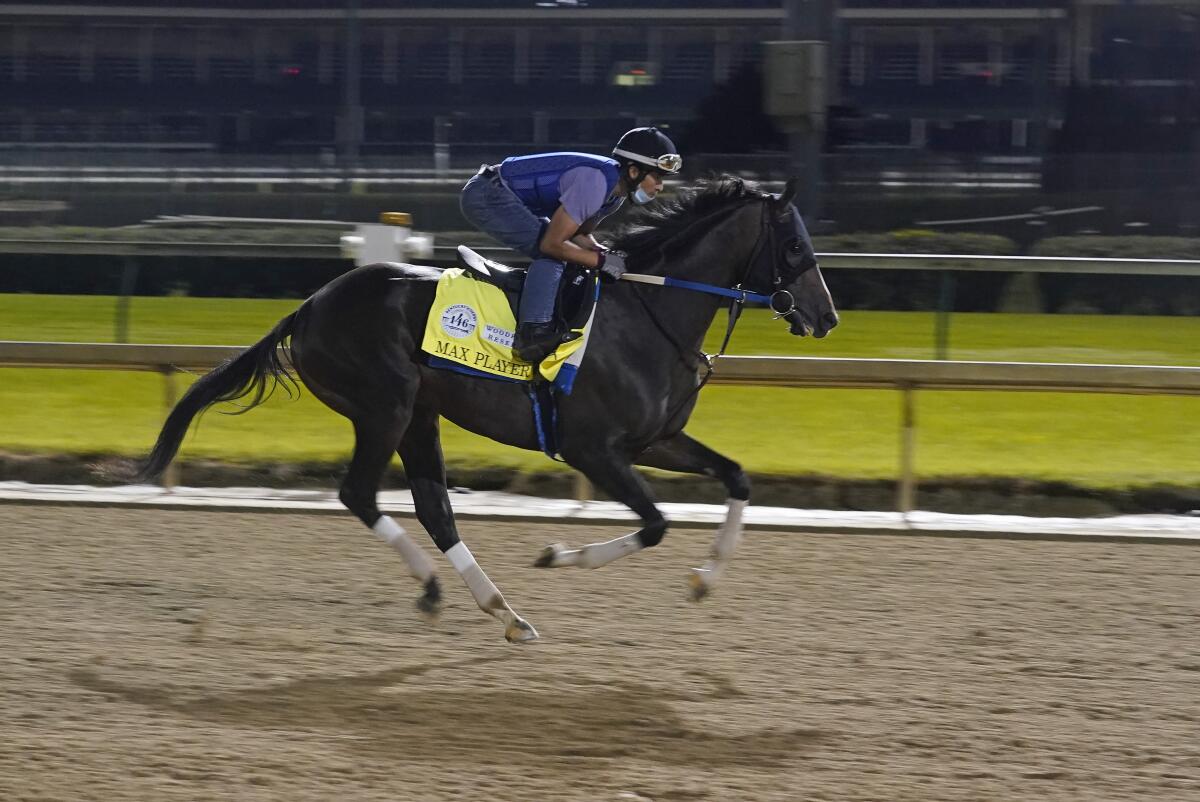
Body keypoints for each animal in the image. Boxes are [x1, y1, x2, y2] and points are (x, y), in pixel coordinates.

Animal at [138, 178, 835, 643]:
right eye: (795, 245)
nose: (826, 317)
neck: (649, 312)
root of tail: (308, 307)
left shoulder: (654, 440)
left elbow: (737, 477)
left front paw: (705, 579)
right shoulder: (594, 449)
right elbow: (657, 523)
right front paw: (558, 556)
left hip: (419, 415)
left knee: (434, 509)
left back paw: (499, 608)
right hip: (384, 407)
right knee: (361, 494)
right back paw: (454, 591)